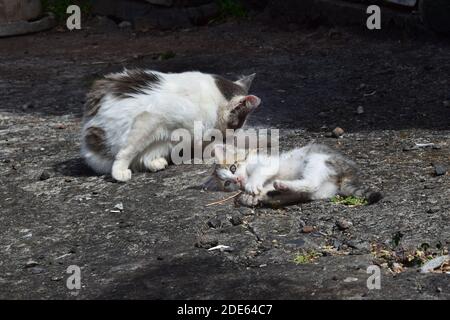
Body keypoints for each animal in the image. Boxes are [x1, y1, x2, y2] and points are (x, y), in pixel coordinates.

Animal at [80, 69, 260, 181]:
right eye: (237, 125)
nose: (233, 135)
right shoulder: (151, 117)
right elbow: (128, 150)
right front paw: (119, 171)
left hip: (167, 140)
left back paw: (156, 163)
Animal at [206, 143, 382, 208]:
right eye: (227, 184)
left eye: (233, 167)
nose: (236, 180)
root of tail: (349, 173)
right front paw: (248, 197)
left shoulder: (268, 163)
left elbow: (260, 171)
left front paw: (252, 186)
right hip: (323, 190)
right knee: (306, 192)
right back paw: (277, 191)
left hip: (317, 159)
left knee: (311, 183)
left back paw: (279, 187)